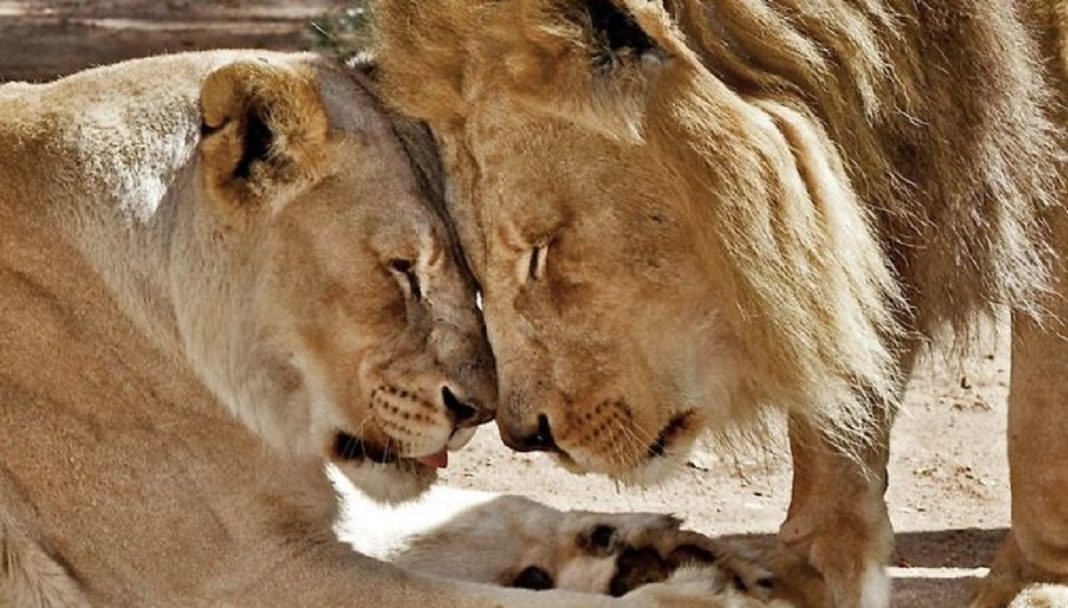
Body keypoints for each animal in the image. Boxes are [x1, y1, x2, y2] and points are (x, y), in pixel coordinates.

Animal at [2, 52, 786, 606]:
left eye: (467, 267)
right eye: (402, 270)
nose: (477, 413)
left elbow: (472, 510)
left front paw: (620, 541)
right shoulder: (242, 574)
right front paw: (690, 597)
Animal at [373, 1, 1068, 606]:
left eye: (541, 250)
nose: (524, 437)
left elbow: (1041, 428)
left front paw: (1033, 583)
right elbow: (832, 406)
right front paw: (793, 575)